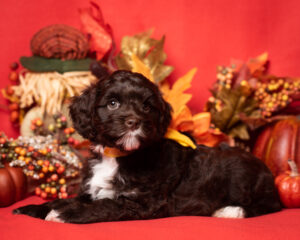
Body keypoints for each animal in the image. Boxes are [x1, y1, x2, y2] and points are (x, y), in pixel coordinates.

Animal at [12, 70, 282, 224]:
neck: (117, 155)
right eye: (112, 103)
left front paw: (65, 214)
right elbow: (68, 198)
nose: (134, 121)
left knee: (270, 206)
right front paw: (33, 208)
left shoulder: (145, 201)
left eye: (146, 106)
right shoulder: (90, 190)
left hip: (241, 175)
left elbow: (106, 204)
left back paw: (230, 211)